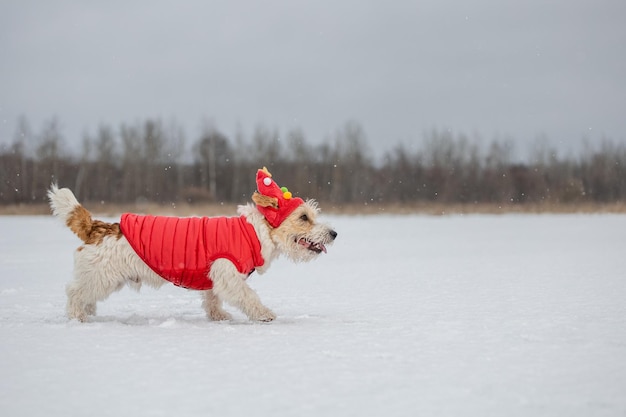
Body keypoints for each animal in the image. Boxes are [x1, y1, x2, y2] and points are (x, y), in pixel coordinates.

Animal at [47, 167, 336, 322]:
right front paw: (264, 314)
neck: (256, 231)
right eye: (304, 217)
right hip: (101, 276)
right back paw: (77, 316)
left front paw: (219, 317)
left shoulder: (215, 277)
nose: (334, 233)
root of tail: (97, 226)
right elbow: (248, 296)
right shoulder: (228, 274)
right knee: (73, 292)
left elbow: (212, 300)